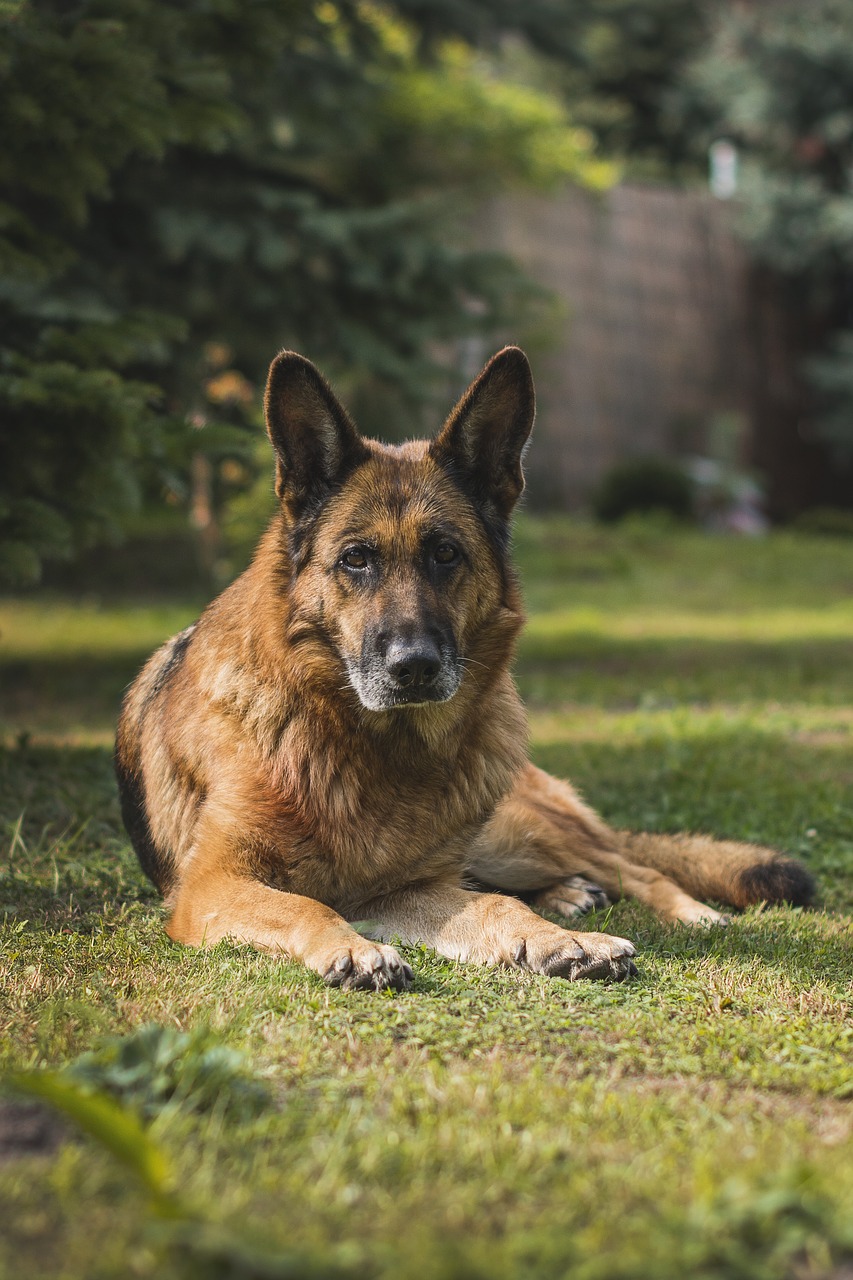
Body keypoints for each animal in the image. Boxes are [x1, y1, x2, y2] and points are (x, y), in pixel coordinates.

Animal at [112, 348, 809, 988]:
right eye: (355, 559)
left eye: (446, 553)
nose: (414, 667)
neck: (369, 750)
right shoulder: (215, 885)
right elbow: (306, 906)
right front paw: (353, 949)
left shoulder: (405, 887)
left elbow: (496, 907)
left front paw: (560, 941)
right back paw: (571, 894)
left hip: (510, 831)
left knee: (631, 866)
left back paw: (677, 911)